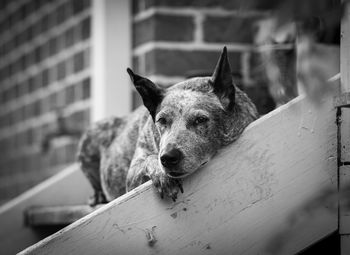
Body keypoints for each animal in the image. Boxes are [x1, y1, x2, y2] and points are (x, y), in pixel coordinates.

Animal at [78, 46, 258, 204]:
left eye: (200, 120)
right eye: (162, 121)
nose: (168, 158)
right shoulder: (131, 175)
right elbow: (149, 158)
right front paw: (162, 175)